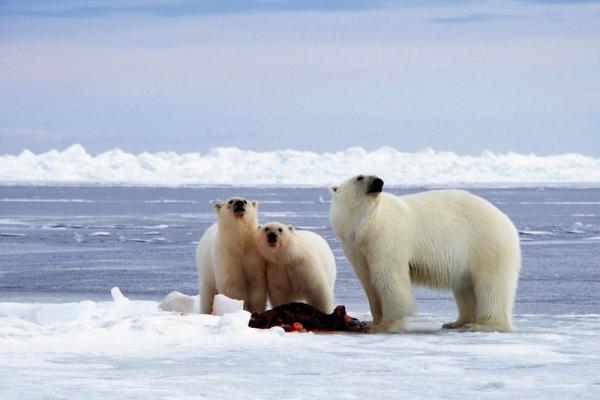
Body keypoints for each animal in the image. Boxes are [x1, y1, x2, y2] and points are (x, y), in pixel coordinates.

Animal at [328, 175, 520, 332]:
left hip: (485, 243)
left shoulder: (386, 237)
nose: (379, 182)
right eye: (360, 177)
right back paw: (456, 323)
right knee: (465, 288)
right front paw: (373, 321)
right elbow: (369, 282)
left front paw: (386, 325)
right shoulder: (356, 248)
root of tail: (507, 222)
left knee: (491, 285)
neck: (366, 225)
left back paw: (482, 325)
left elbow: (389, 278)